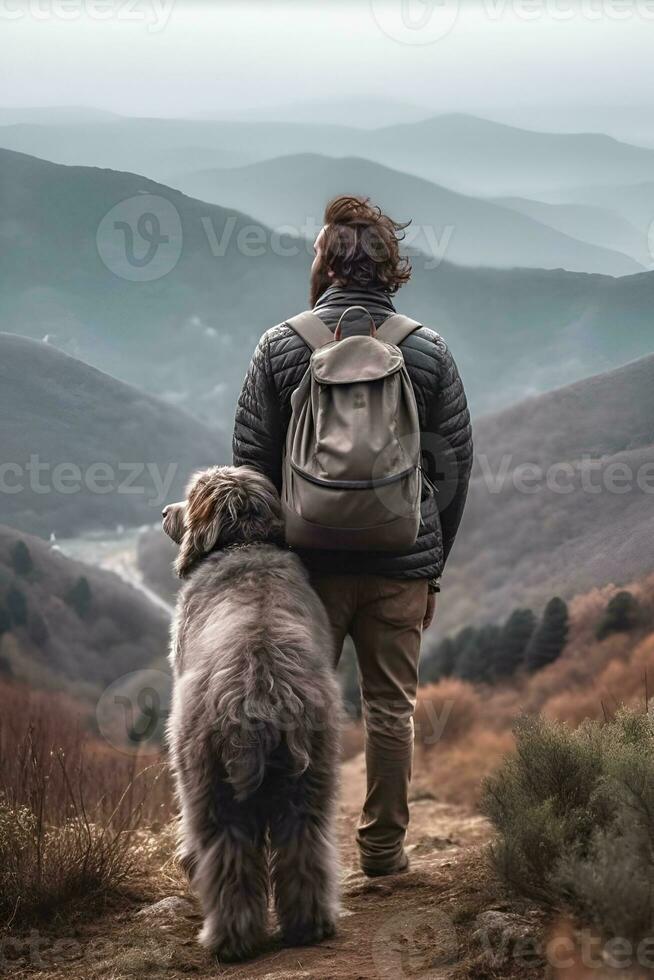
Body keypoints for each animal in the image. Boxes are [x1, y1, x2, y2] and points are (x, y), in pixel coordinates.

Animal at [163, 464, 340, 960]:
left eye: (188, 496)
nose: (165, 512)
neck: (243, 543)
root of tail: (259, 692)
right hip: (310, 781)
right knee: (304, 848)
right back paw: (310, 925)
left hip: (208, 784)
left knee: (229, 859)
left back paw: (228, 939)